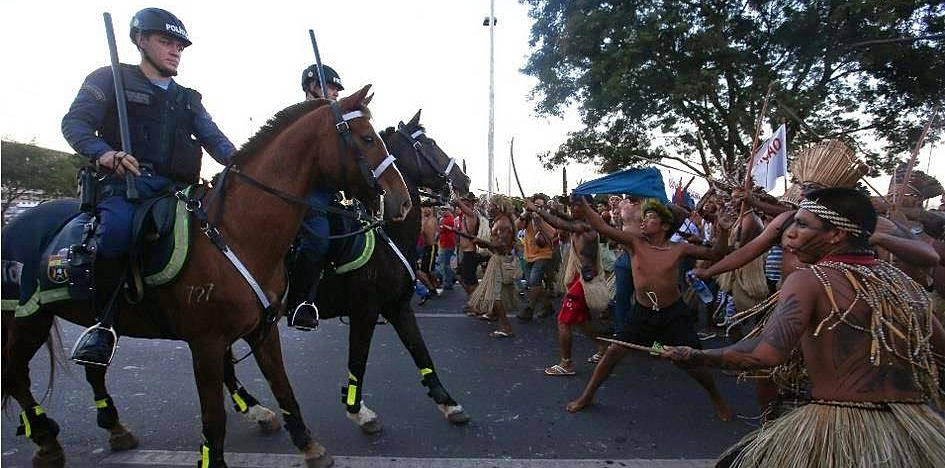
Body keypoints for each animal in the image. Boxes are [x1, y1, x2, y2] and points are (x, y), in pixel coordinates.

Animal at [1, 85, 412, 468]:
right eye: (367, 138)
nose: (403, 201)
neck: (236, 232)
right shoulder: (208, 341)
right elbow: (214, 418)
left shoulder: (261, 329)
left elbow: (283, 385)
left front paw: (308, 443)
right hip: (26, 320)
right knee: (16, 375)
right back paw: (46, 440)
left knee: (87, 370)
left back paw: (114, 426)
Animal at [222, 109, 472, 436]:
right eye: (429, 143)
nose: (464, 180)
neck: (386, 236)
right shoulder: (365, 310)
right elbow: (358, 360)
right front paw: (359, 411)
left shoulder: (397, 306)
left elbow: (421, 352)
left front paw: (448, 403)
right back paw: (255, 410)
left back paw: (256, 410)